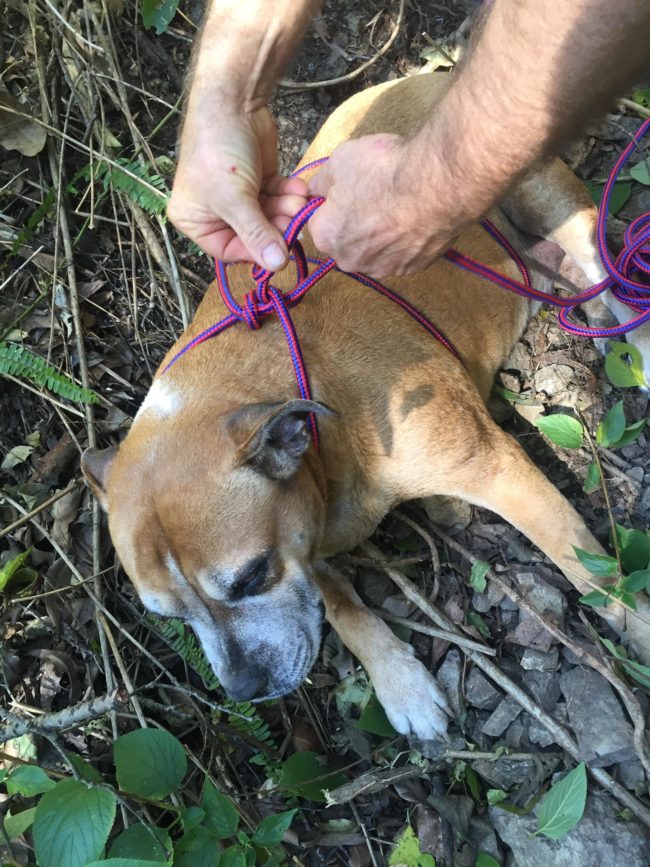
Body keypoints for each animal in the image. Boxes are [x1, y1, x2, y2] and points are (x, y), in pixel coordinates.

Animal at [81, 74, 648, 740]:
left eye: (251, 576)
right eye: (169, 617)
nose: (245, 691)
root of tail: (431, 74)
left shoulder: (495, 470)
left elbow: (591, 571)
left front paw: (638, 626)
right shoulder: (307, 535)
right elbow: (338, 605)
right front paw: (399, 683)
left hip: (557, 208)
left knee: (614, 281)